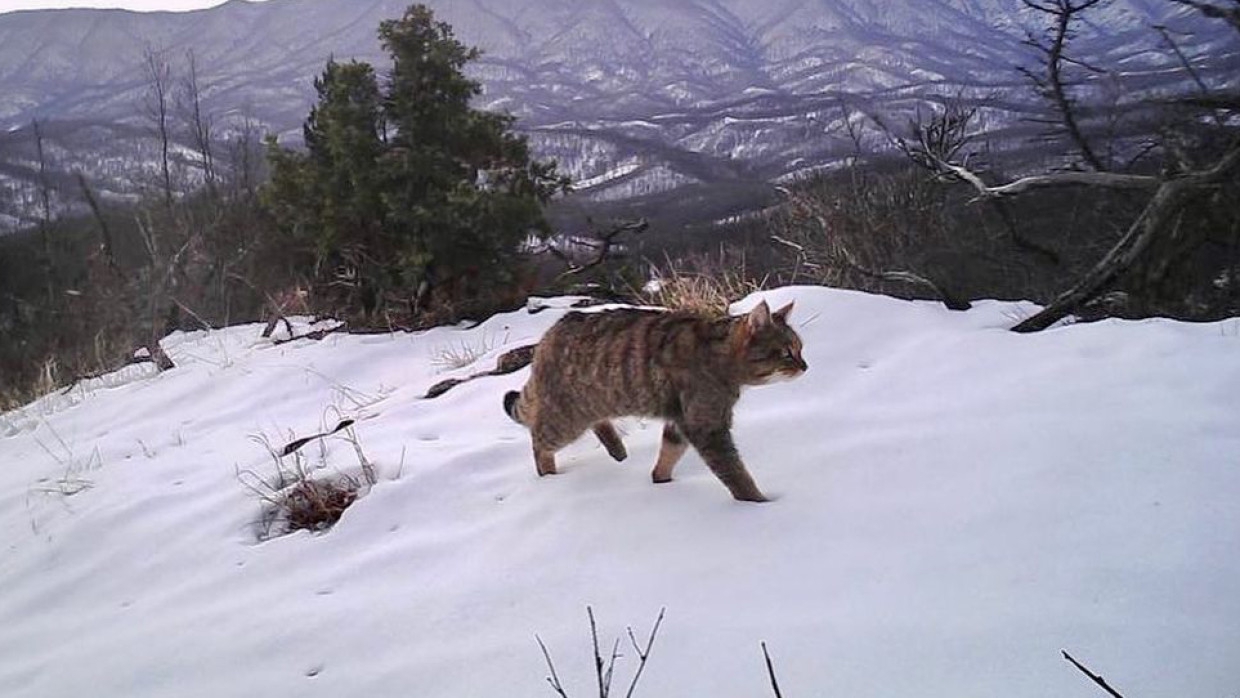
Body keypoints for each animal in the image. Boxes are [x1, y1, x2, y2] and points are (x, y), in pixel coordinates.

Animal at [503, 297, 803, 500]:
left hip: (594, 403)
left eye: (800, 349)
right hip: (566, 419)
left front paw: (660, 481)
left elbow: (668, 454)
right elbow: (736, 473)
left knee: (597, 423)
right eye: (786, 353)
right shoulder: (706, 425)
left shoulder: (681, 422)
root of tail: (545, 340)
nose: (805, 366)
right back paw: (548, 476)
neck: (717, 354)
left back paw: (618, 452)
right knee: (539, 440)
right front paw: (758, 504)